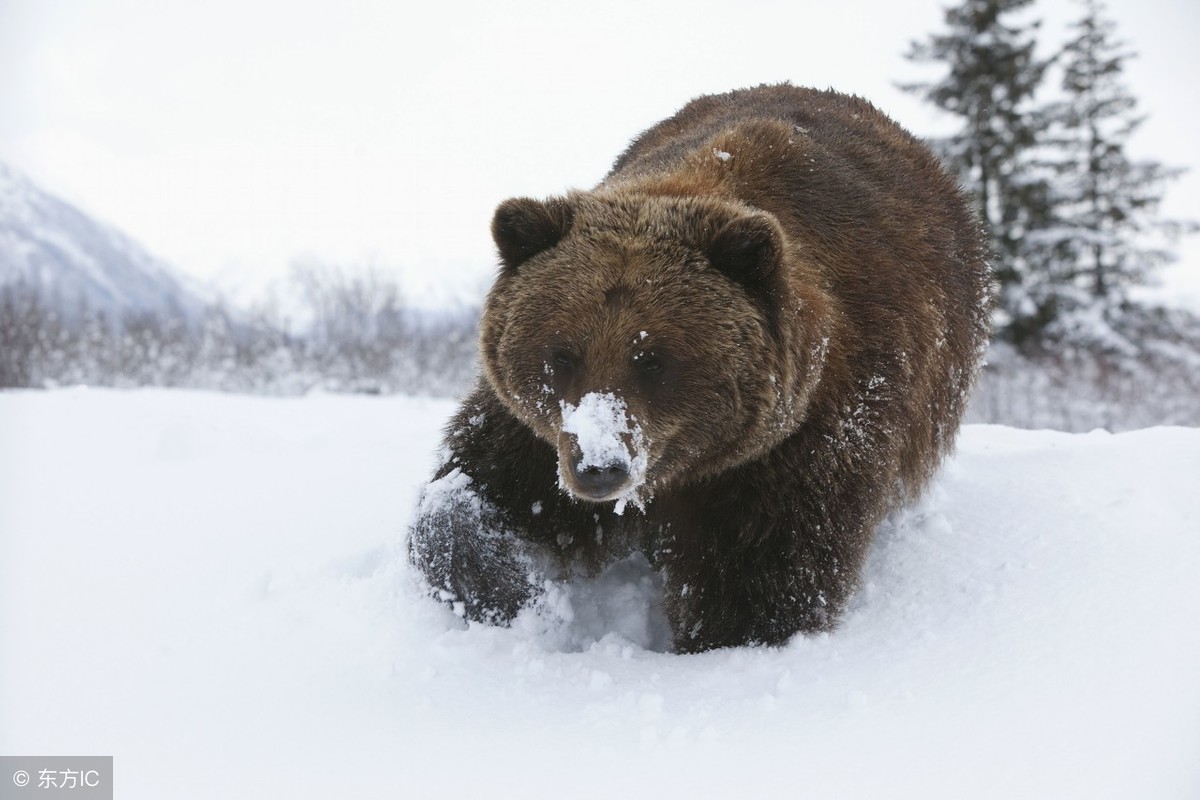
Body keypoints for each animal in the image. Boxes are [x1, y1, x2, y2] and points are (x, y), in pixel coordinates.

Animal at [408, 84, 988, 652]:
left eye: (652, 359)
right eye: (562, 352)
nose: (600, 467)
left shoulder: (803, 443)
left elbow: (759, 576)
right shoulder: (540, 432)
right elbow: (474, 490)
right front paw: (510, 591)